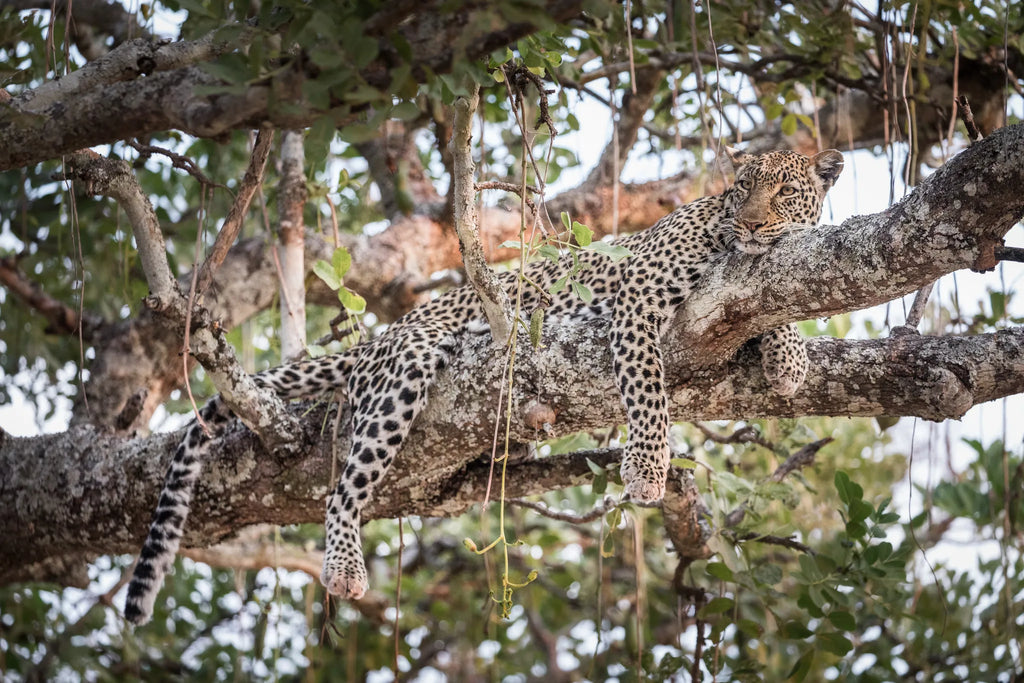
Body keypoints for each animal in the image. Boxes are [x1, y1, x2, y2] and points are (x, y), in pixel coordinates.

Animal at [123, 146, 844, 625]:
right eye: (743, 187)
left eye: (784, 191)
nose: (751, 223)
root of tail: (389, 329)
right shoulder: (638, 297)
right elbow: (647, 389)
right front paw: (646, 468)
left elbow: (774, 311)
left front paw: (787, 359)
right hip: (406, 369)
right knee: (342, 488)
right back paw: (346, 567)